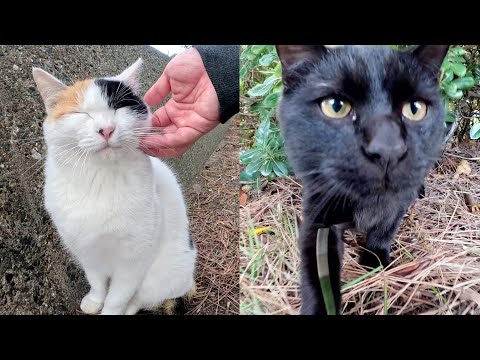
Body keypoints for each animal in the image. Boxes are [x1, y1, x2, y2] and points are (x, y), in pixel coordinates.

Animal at [32, 59, 196, 316]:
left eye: (118, 108)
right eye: (81, 113)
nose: (106, 129)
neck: (99, 180)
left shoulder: (134, 260)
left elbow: (118, 297)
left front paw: (111, 310)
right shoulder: (86, 251)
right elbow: (96, 282)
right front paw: (94, 300)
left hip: (162, 276)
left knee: (140, 298)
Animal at [278, 45, 450, 316]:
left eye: (415, 109)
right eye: (335, 106)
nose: (388, 149)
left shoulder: (399, 202)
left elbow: (386, 226)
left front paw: (375, 258)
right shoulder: (318, 219)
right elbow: (316, 275)